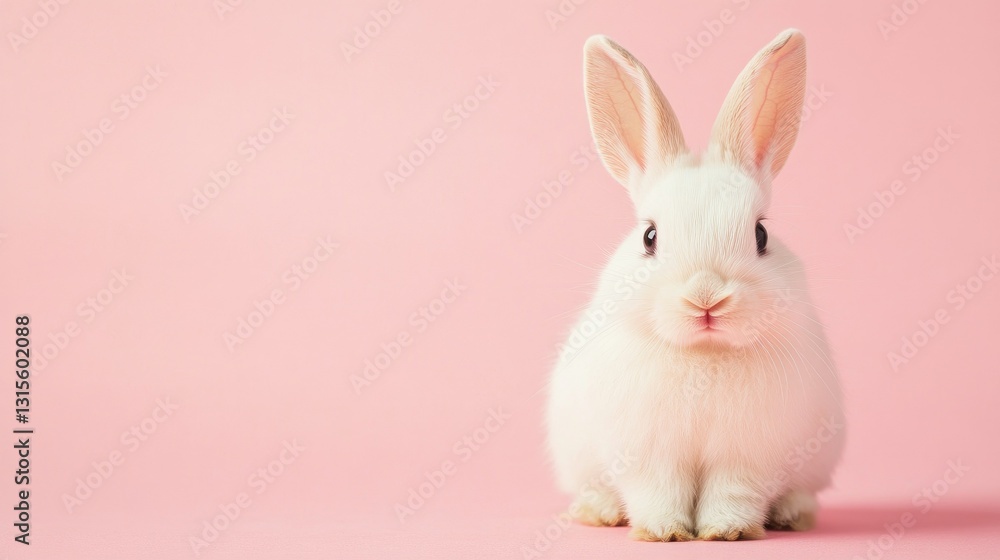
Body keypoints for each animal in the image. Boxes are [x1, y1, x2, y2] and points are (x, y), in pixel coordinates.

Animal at [545, 29, 845, 541]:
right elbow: (658, 493)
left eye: (761, 235)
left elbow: (733, 493)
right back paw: (599, 512)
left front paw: (727, 532)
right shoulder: (648, 456)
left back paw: (792, 515)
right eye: (650, 237)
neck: (704, 356)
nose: (706, 298)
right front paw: (664, 532)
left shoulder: (747, 458)